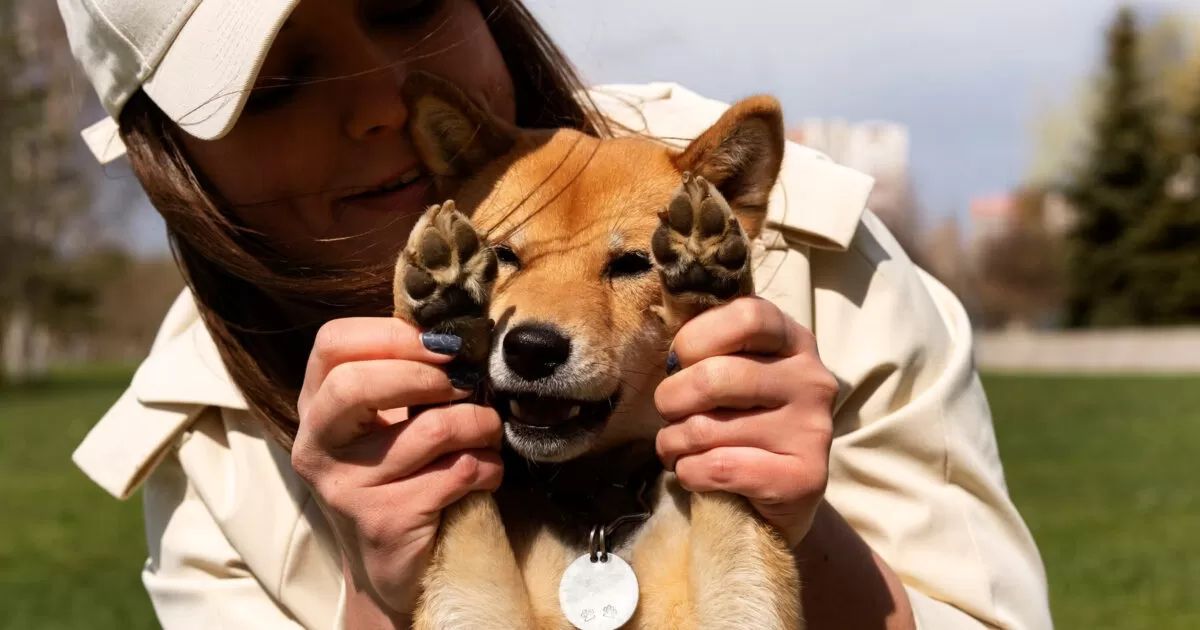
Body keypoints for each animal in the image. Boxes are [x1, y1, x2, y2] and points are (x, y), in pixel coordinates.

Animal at [396, 72, 806, 628]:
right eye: (502, 256)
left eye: (632, 263)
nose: (531, 348)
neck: (596, 510)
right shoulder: (474, 606)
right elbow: (469, 513)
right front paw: (443, 297)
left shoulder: (743, 605)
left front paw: (708, 289)